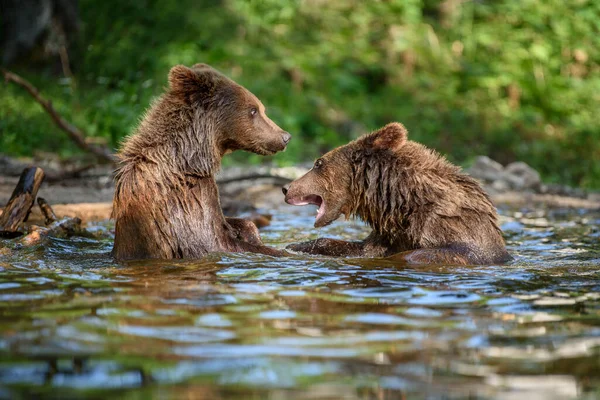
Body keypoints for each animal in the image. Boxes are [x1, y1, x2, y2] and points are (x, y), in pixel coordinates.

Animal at [113, 64, 292, 260]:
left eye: (261, 108)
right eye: (253, 110)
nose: (285, 137)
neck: (192, 161)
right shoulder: (185, 203)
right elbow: (215, 241)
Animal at [282, 122, 510, 266]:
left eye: (318, 163)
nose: (286, 188)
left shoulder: (459, 233)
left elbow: (419, 255)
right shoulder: (390, 235)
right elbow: (358, 248)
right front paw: (296, 245)